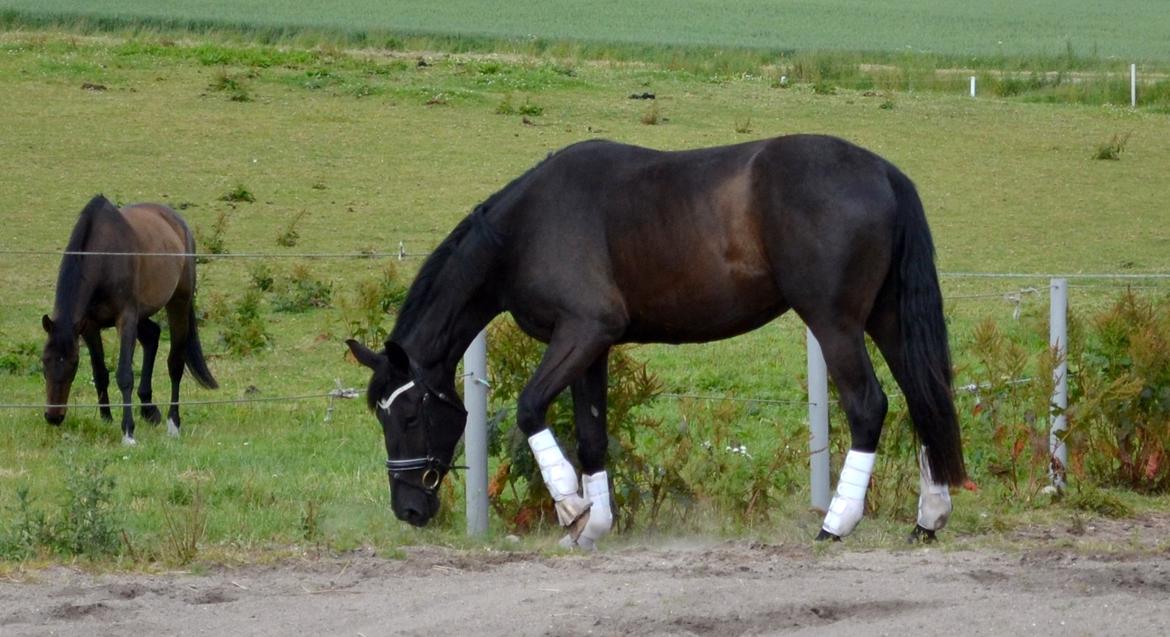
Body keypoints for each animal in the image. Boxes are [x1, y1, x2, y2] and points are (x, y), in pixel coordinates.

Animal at [42, 194, 218, 442]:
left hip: (178, 303)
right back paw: (149, 409)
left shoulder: (125, 319)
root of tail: (178, 223)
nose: (53, 417)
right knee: (152, 336)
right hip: (142, 313)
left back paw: (173, 423)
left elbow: (124, 375)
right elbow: (100, 373)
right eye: (44, 361)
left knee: (175, 363)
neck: (104, 256)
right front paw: (106, 419)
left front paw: (128, 431)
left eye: (74, 364)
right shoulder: (89, 326)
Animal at [346, 132, 968, 543]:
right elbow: (592, 435)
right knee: (923, 401)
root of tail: (883, 172)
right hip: (886, 320)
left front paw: (571, 508)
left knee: (870, 406)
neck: (525, 229)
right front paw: (595, 524)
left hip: (835, 324)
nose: (408, 509)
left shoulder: (582, 332)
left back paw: (837, 523)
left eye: (407, 415)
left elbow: (529, 408)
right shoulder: (590, 348)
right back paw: (928, 518)